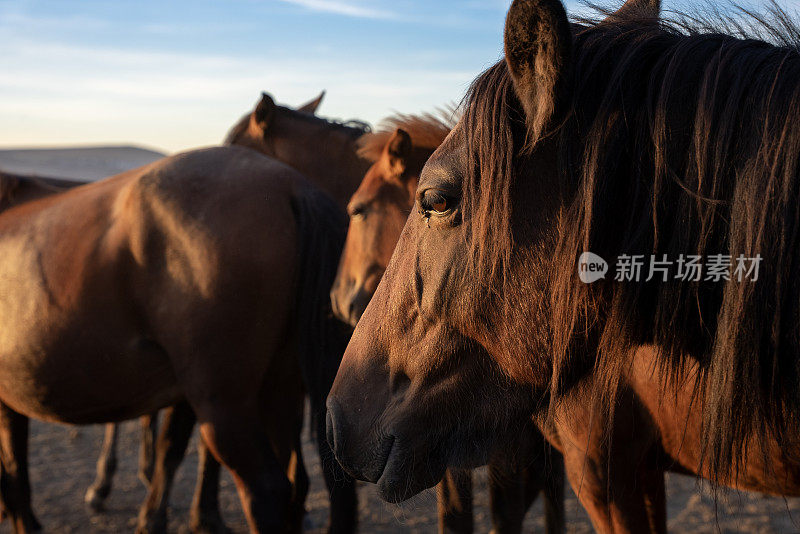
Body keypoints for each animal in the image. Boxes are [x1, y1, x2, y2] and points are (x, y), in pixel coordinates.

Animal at [0, 144, 346, 532]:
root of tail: (291, 184)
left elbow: (14, 479)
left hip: (225, 405)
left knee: (267, 489)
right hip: (278, 390)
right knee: (296, 482)